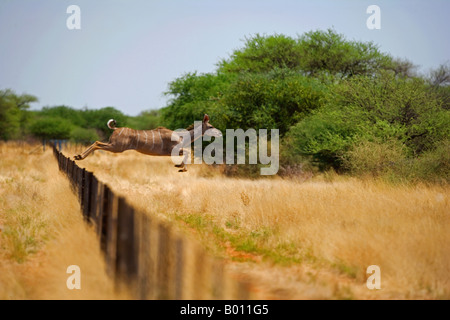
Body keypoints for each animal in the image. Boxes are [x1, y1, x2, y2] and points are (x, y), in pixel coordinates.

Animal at [73, 114, 222, 171]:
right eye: (210, 126)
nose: (220, 133)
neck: (182, 136)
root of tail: (115, 129)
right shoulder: (172, 150)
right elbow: (187, 152)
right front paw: (181, 168)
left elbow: (187, 153)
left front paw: (179, 166)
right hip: (116, 147)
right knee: (97, 143)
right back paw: (79, 156)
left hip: (115, 146)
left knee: (96, 142)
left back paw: (78, 156)